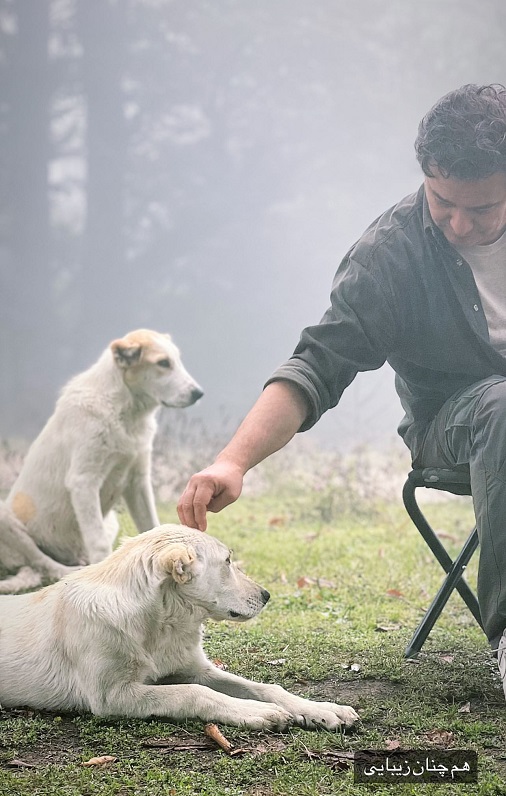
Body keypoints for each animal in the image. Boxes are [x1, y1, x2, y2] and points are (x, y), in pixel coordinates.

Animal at [0, 326, 202, 592]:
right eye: (163, 363)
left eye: (176, 360)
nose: (198, 393)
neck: (125, 413)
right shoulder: (84, 481)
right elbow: (98, 542)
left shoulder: (137, 482)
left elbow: (152, 526)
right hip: (7, 520)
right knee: (44, 563)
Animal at [0, 524, 358, 732]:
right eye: (227, 562)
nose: (267, 595)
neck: (159, 624)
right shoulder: (112, 697)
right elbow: (193, 693)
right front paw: (254, 712)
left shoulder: (195, 669)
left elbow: (269, 687)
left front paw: (322, 710)